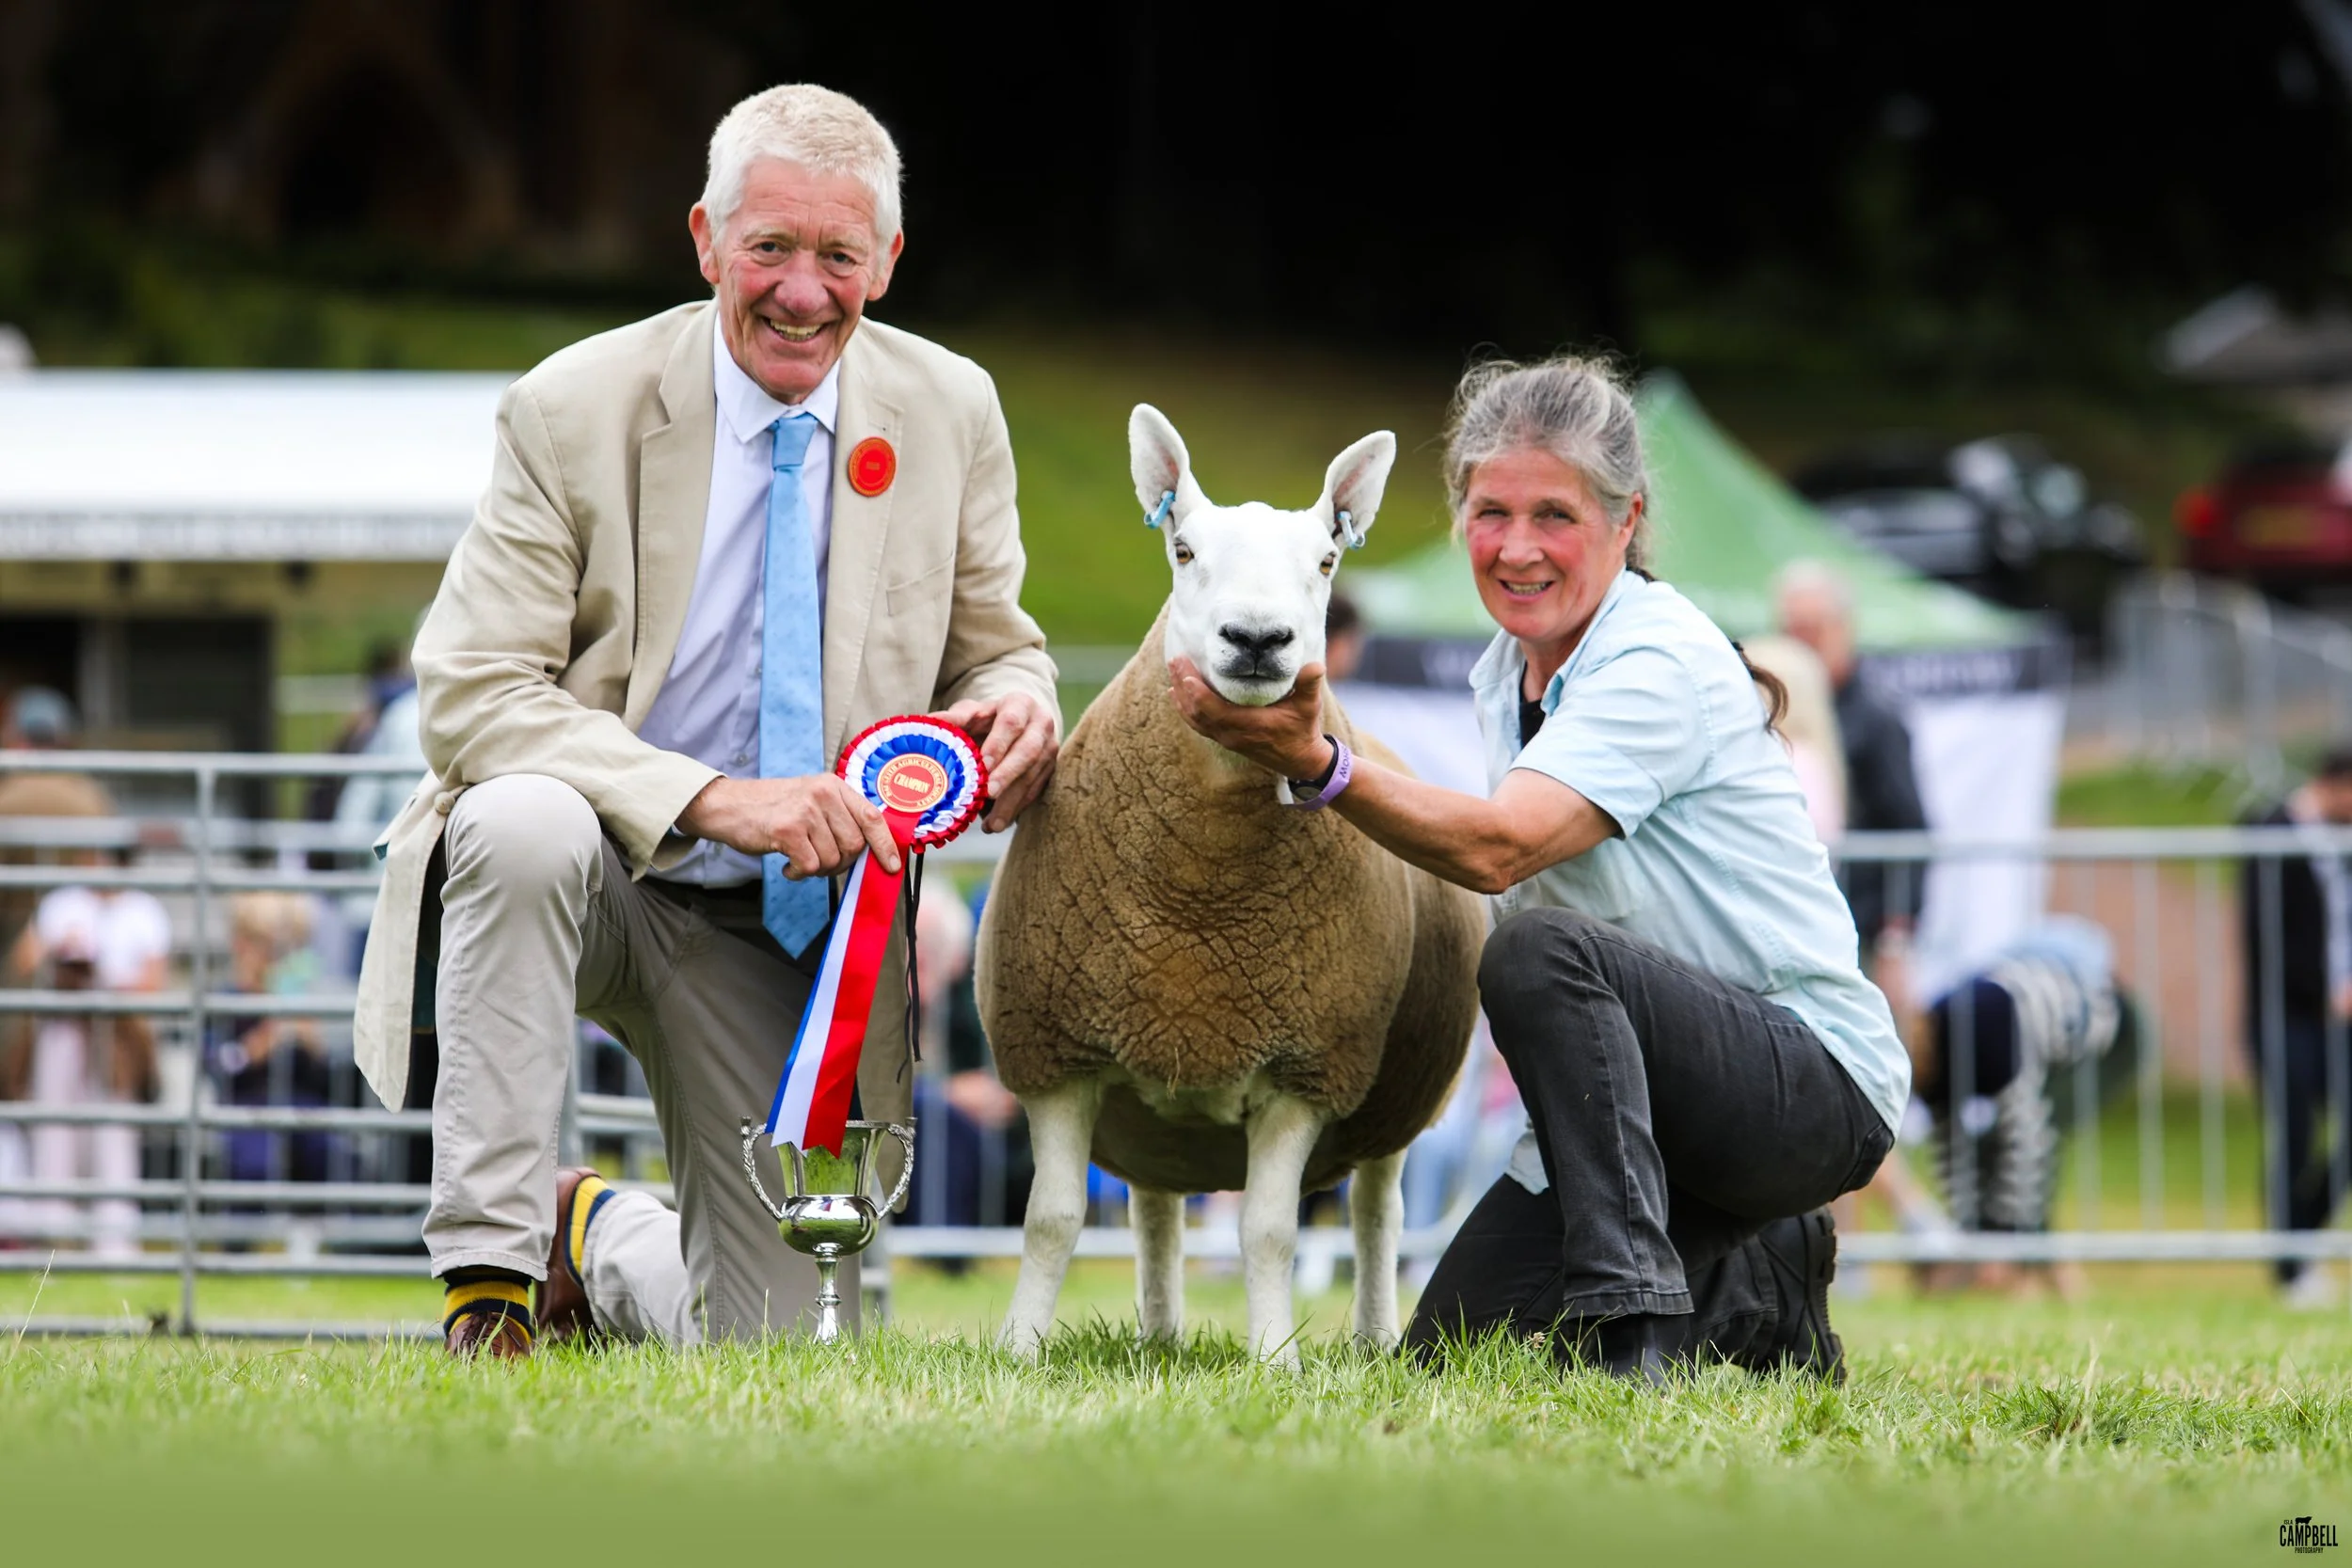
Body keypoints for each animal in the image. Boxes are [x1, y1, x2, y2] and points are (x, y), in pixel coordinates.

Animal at [976, 404, 1484, 1364]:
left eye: (1326, 560)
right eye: (1183, 549)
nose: (1256, 639)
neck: (1198, 895)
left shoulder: (1306, 1066)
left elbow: (1271, 1232)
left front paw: (1276, 1358)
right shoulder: (1057, 1052)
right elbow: (1051, 1218)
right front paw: (1018, 1348)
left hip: (1397, 1104)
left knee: (1377, 1213)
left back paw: (1373, 1340)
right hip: (1156, 1093)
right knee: (1156, 1205)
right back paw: (1160, 1337)